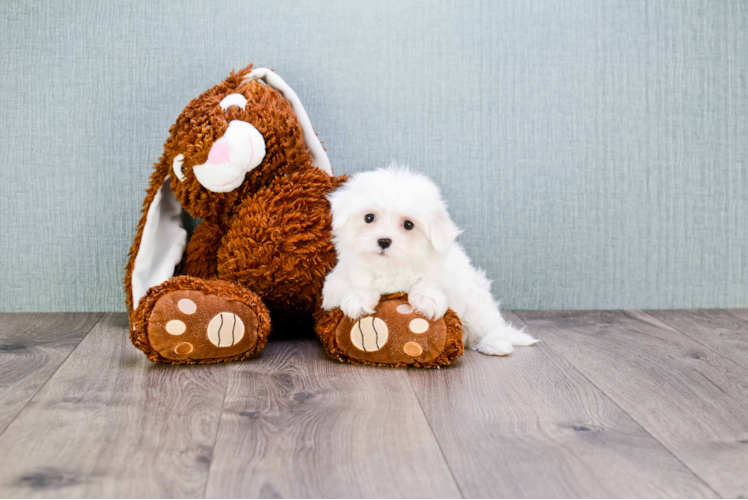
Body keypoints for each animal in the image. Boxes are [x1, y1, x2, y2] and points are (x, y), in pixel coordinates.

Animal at [322, 166, 536, 358]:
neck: (389, 269)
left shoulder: (450, 279)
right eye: (369, 217)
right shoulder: (333, 286)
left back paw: (495, 345)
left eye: (408, 224)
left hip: (477, 305)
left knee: (490, 325)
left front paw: (427, 298)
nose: (384, 241)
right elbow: (355, 283)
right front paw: (358, 299)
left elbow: (430, 281)